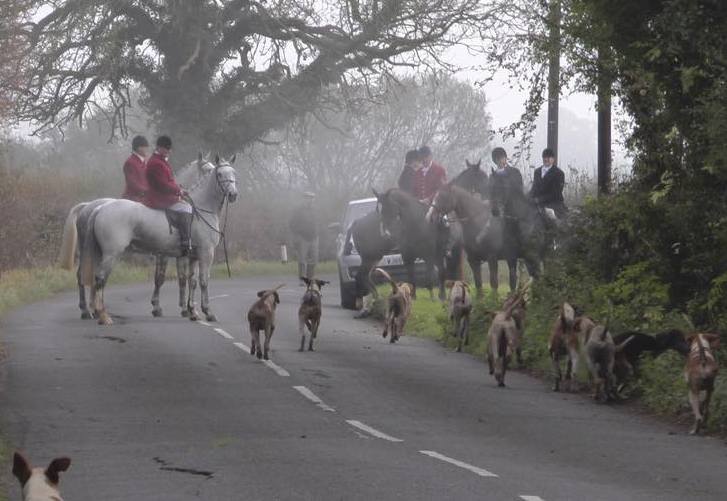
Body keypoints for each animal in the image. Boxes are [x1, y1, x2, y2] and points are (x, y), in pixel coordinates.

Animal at [79, 153, 239, 324]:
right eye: (219, 174)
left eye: (233, 173)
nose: (233, 194)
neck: (201, 209)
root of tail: (99, 208)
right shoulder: (205, 253)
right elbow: (202, 281)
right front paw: (207, 311)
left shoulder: (193, 256)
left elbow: (192, 281)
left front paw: (192, 311)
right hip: (111, 253)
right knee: (100, 278)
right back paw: (102, 315)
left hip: (98, 252)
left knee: (92, 277)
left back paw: (92, 311)